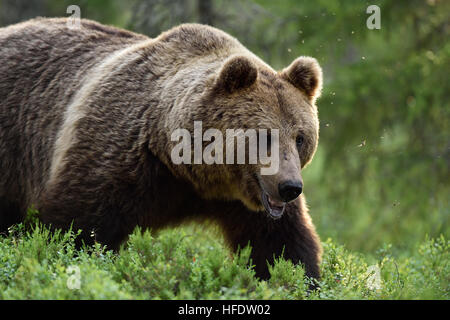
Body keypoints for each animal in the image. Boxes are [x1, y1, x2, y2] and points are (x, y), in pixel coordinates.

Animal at [0, 18, 324, 282]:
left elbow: (281, 246)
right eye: (263, 135)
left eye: (300, 138)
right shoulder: (119, 158)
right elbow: (76, 227)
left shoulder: (245, 203)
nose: (289, 187)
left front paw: (298, 279)